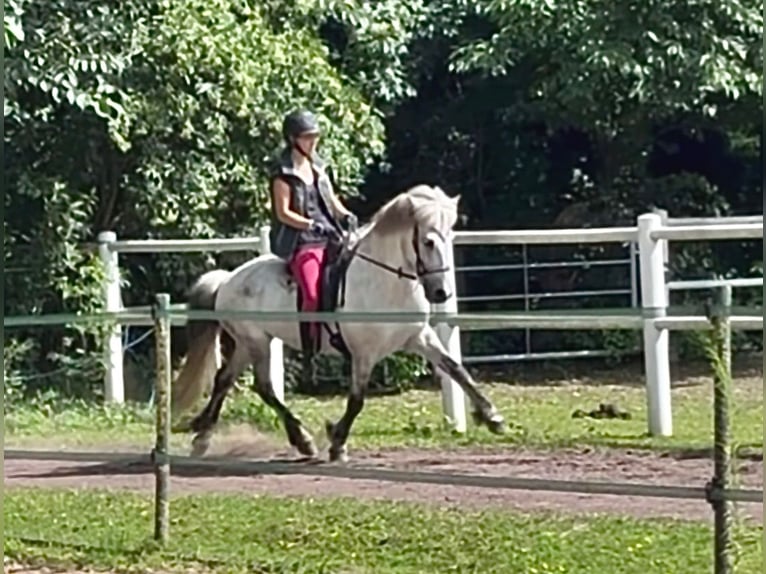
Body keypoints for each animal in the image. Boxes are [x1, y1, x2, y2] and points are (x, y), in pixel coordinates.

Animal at [170, 184, 508, 462]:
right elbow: (357, 400)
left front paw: (492, 417)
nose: (442, 293)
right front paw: (337, 441)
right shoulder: (364, 353)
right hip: (256, 342)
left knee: (225, 380)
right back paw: (301, 439)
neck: (385, 281)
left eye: (449, 238)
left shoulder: (419, 338)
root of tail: (228, 279)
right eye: (427, 242)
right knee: (263, 386)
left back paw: (204, 438)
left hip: (248, 343)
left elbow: (456, 369)